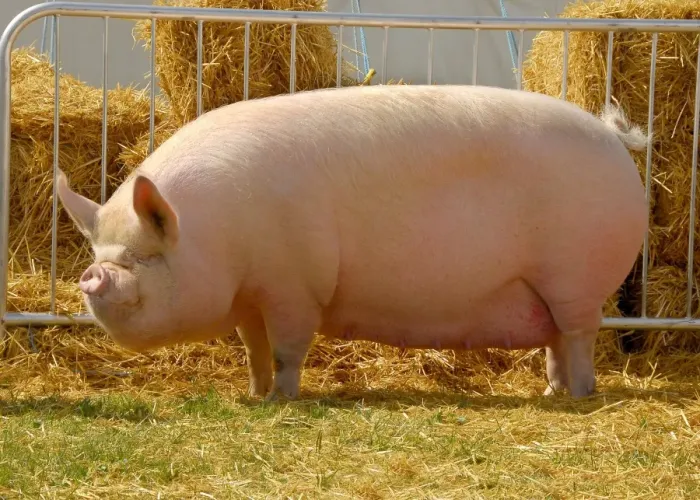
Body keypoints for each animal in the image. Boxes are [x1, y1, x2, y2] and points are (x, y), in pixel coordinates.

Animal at [56, 84, 649, 401]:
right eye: (99, 252)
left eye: (146, 255)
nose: (94, 274)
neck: (217, 233)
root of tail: (613, 137)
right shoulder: (252, 297)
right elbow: (254, 348)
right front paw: (254, 394)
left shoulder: (295, 285)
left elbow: (289, 346)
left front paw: (284, 398)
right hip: (547, 289)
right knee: (556, 341)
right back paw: (552, 392)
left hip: (575, 277)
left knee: (578, 336)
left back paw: (581, 394)